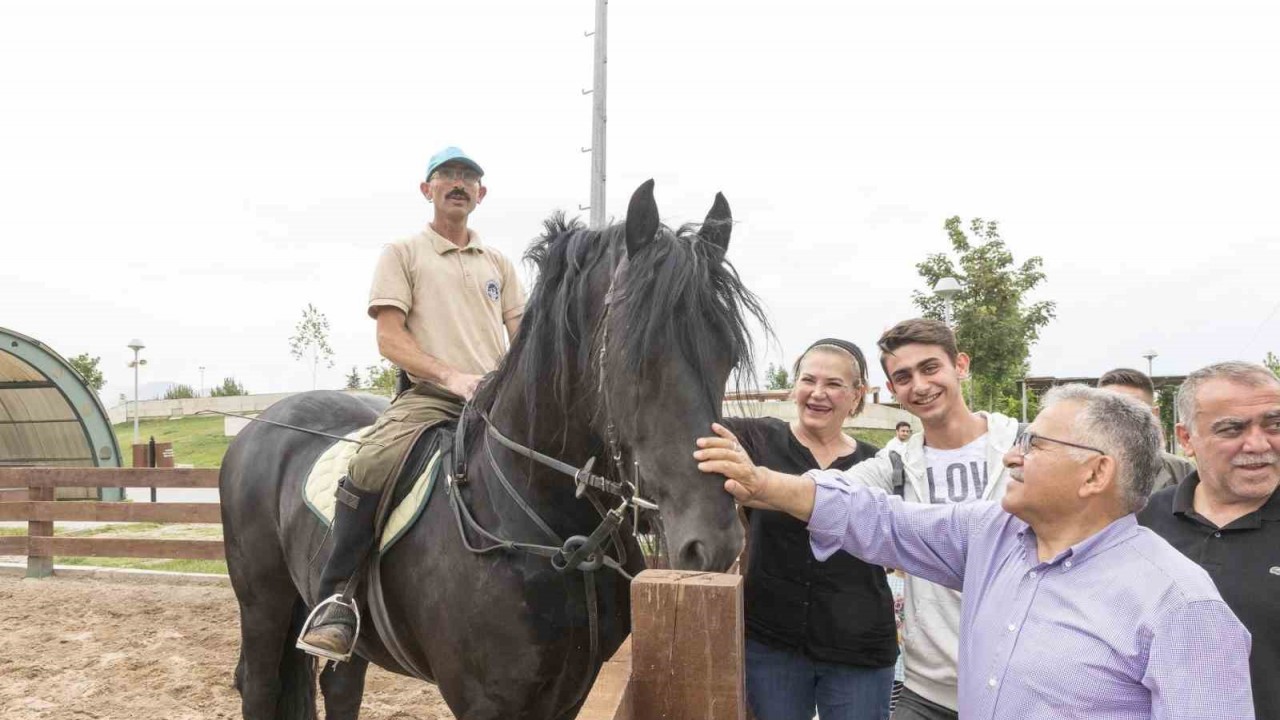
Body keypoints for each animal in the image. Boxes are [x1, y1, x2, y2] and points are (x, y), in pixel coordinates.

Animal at [218, 178, 762, 712]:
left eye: (728, 354)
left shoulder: (573, 693)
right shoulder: (486, 701)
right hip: (264, 603)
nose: (714, 543)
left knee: (341, 687)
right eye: (637, 357)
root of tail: (261, 425)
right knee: (259, 683)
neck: (552, 529)